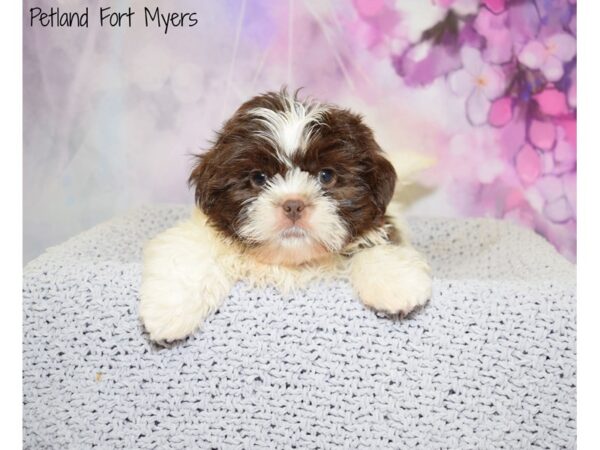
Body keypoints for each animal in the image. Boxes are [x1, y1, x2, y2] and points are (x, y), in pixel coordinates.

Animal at [141, 89, 432, 342]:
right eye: (259, 178)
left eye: (326, 175)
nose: (293, 205)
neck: (291, 264)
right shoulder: (205, 227)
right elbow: (190, 248)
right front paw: (168, 311)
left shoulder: (378, 224)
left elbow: (374, 245)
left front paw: (396, 284)